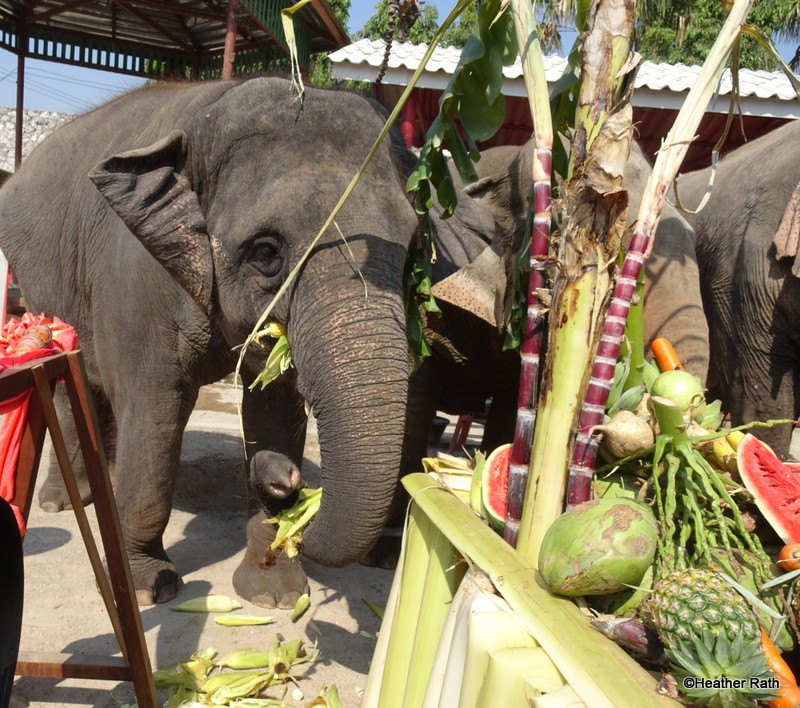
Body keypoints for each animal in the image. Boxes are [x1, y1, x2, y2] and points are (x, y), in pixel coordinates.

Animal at [0, 79, 422, 608]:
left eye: (412, 253)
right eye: (267, 252)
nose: (286, 476)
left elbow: (274, 408)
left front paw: (274, 597)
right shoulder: (136, 277)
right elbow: (155, 410)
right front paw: (148, 588)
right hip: (39, 284)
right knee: (69, 385)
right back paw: (63, 501)